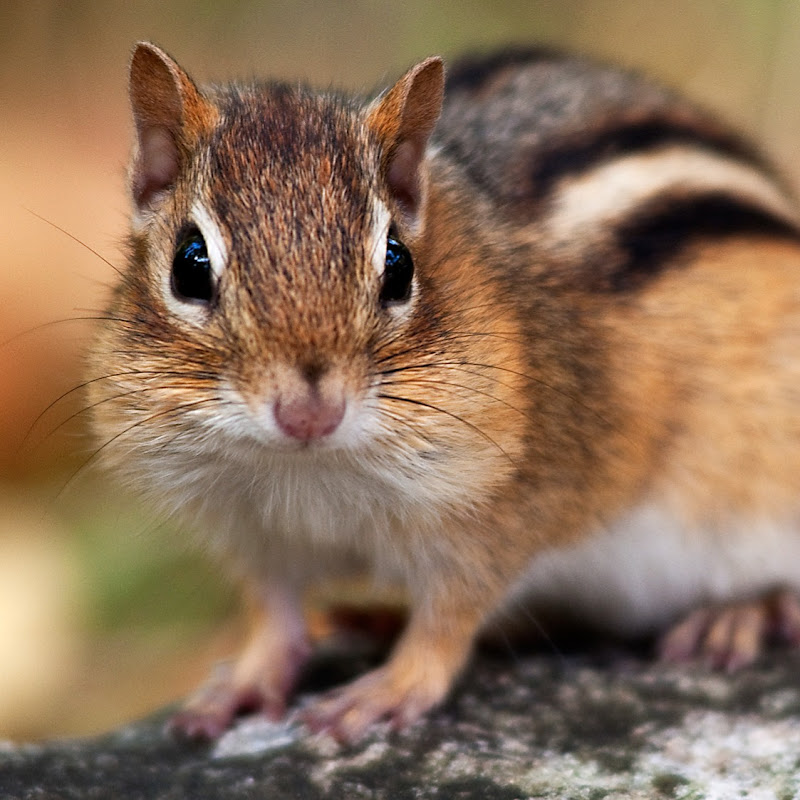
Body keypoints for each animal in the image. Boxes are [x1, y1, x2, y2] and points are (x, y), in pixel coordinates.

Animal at [89, 42, 800, 742]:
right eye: (190, 265)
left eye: (398, 264)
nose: (309, 414)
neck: (310, 472)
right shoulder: (253, 531)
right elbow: (273, 611)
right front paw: (244, 680)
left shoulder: (509, 509)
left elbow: (449, 617)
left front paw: (390, 690)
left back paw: (739, 614)